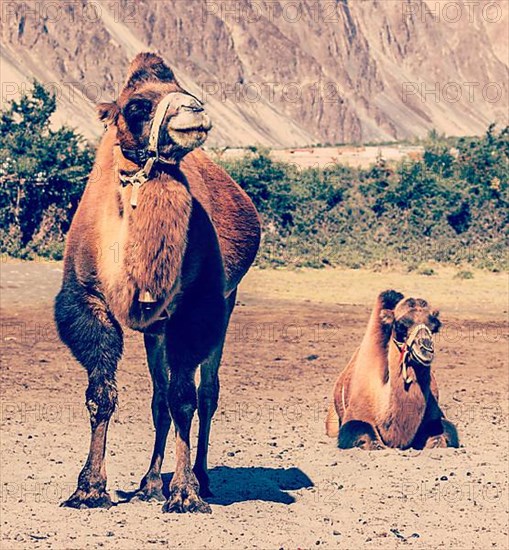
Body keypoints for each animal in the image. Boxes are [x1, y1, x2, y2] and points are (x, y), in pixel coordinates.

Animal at [54, 54, 260, 516]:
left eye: (185, 89)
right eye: (136, 106)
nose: (195, 110)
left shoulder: (196, 309)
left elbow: (186, 398)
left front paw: (183, 493)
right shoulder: (88, 301)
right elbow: (102, 395)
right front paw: (89, 489)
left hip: (226, 305)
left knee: (206, 393)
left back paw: (201, 479)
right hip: (156, 329)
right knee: (158, 396)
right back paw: (149, 482)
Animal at [326, 292, 460, 450]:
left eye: (435, 327)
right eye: (401, 326)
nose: (426, 350)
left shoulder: (435, 416)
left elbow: (441, 435)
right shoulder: (356, 415)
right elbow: (366, 436)